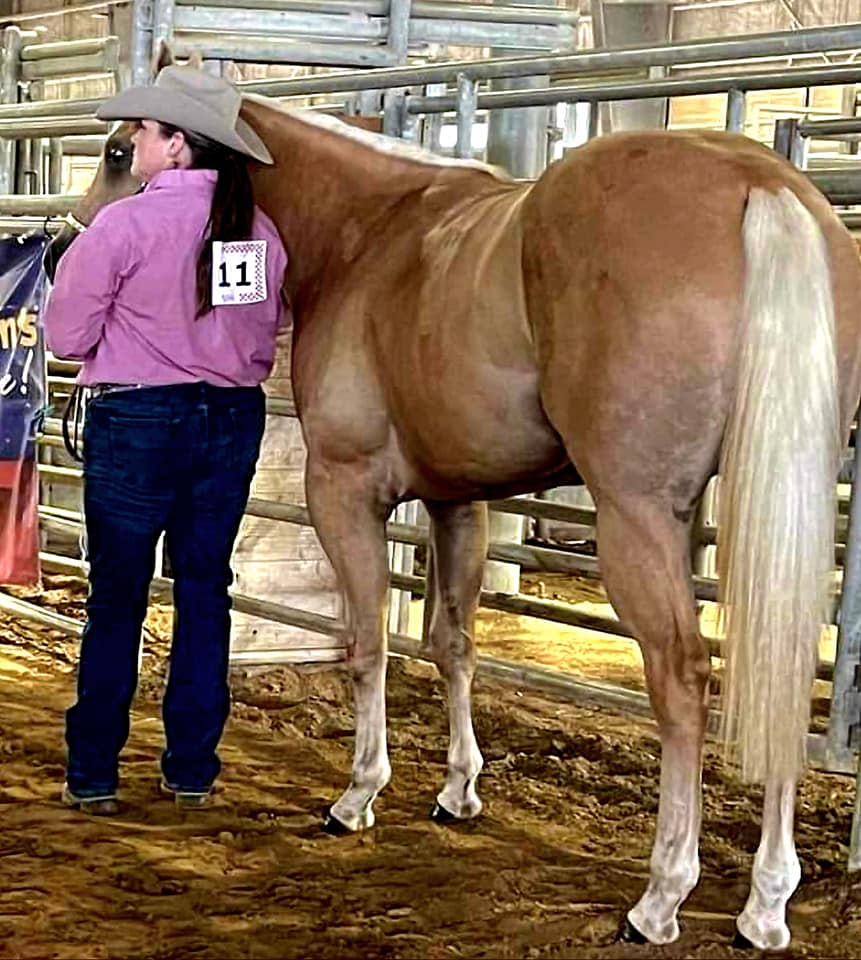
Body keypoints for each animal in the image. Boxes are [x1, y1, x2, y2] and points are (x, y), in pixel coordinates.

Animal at [45, 76, 861, 951]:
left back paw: (661, 897)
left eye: (119, 151)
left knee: (680, 679)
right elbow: (453, 643)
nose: (58, 259)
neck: (368, 233)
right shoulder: (455, 499)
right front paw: (459, 791)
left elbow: (367, 642)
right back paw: (765, 905)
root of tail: (762, 186)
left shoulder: (343, 490)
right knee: (771, 670)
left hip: (637, 516)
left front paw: (357, 796)